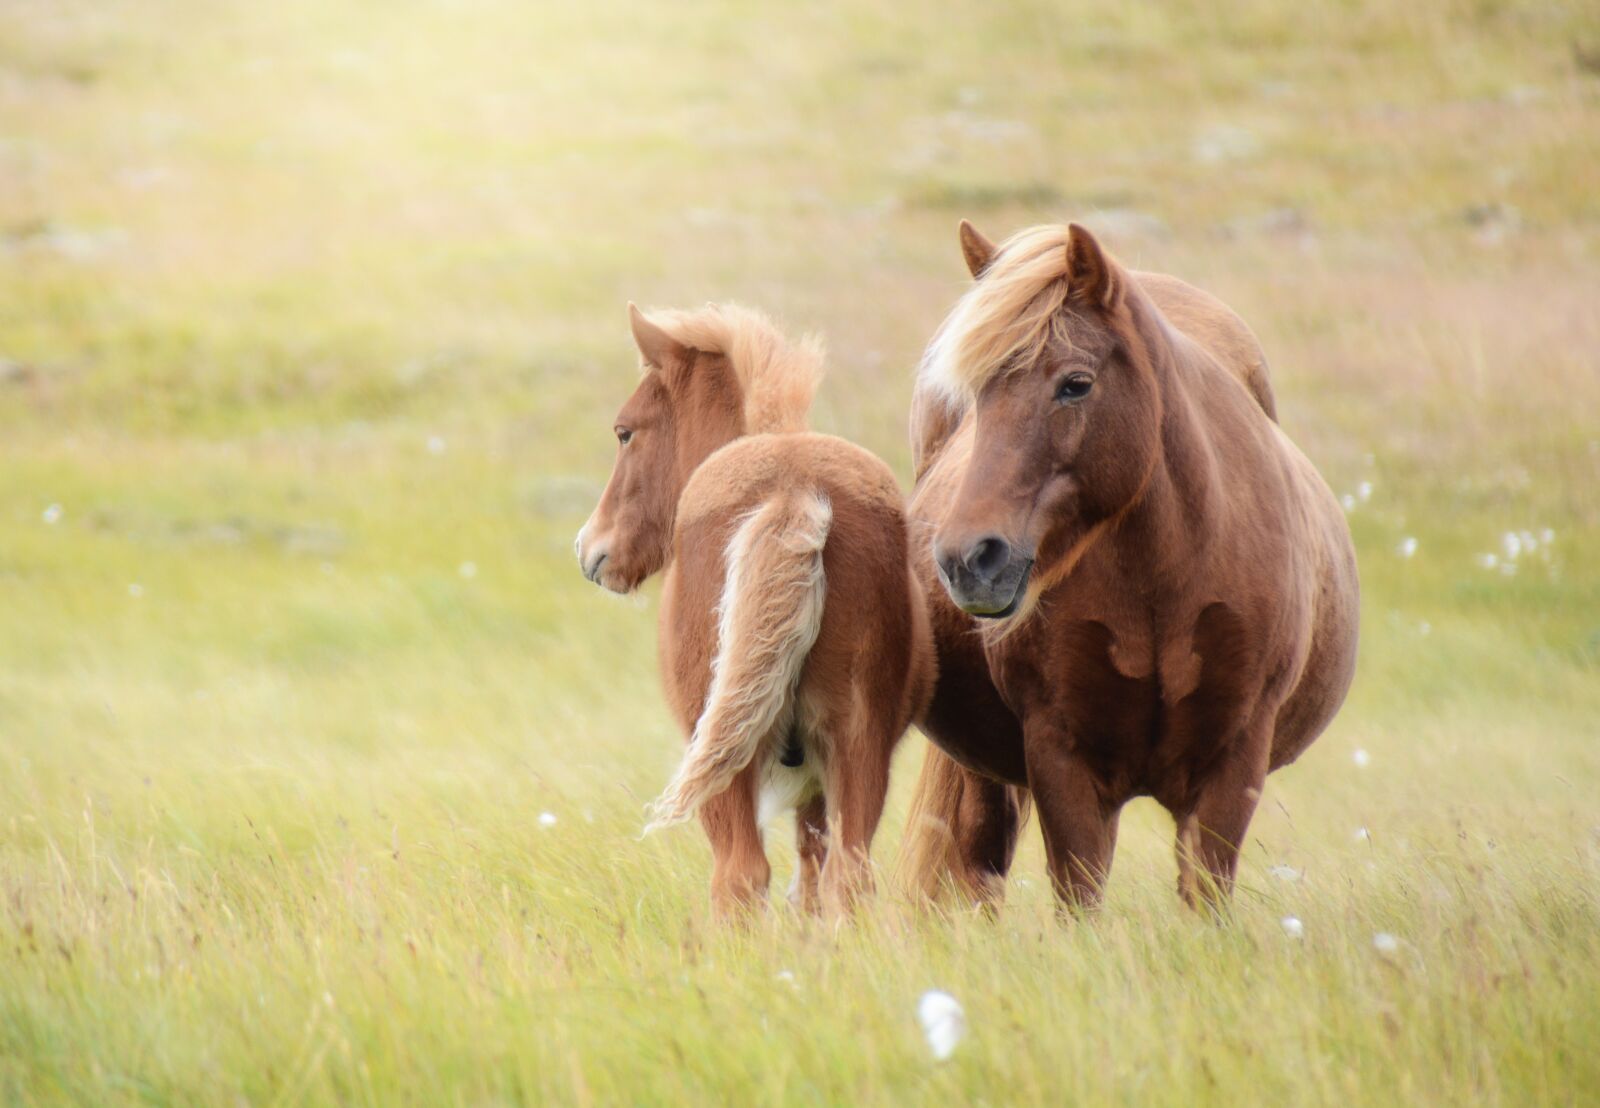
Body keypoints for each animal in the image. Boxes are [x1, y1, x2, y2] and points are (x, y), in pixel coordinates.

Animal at [576, 303, 935, 919]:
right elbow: (812, 878)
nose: (591, 549)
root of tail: (794, 490)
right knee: (847, 877)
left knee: (739, 877)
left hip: (724, 761)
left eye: (625, 432)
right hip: (857, 743)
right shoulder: (818, 780)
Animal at [898, 221, 1358, 913]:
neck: (1162, 581)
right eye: (974, 395)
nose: (967, 558)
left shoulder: (1232, 765)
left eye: (1076, 383)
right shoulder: (1063, 762)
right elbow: (1078, 901)